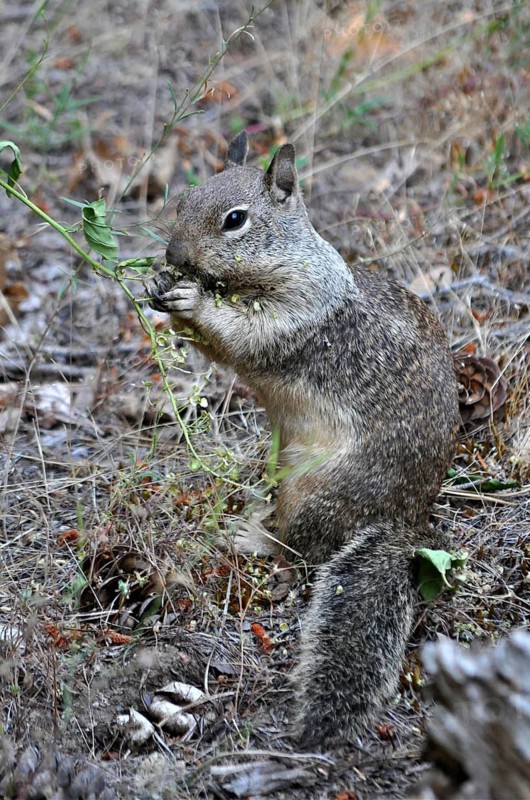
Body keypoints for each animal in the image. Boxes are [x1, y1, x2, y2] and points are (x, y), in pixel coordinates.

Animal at [146, 131, 460, 748]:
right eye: (184, 198)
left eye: (235, 220)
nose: (175, 257)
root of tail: (407, 522)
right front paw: (156, 287)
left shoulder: (298, 318)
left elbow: (244, 336)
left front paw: (193, 300)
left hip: (317, 492)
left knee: (301, 549)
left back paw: (252, 537)